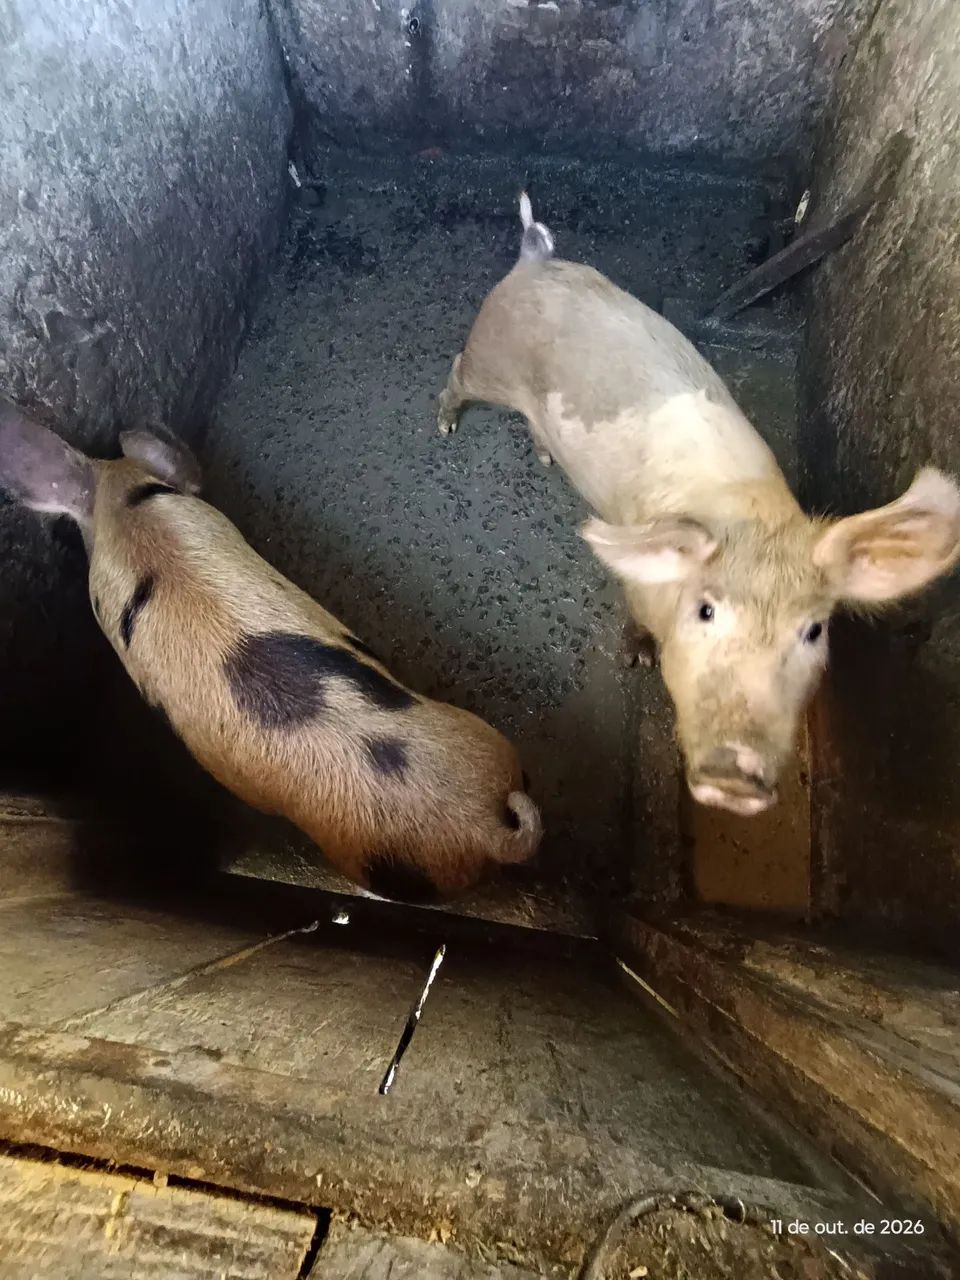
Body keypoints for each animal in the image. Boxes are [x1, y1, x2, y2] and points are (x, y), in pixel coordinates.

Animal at [437, 194, 960, 816]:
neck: (751, 521)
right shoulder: (639, 586)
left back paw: (542, 457)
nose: (735, 777)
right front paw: (638, 658)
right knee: (455, 371)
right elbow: (636, 623)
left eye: (813, 631)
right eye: (706, 611)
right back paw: (444, 427)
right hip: (488, 356)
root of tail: (533, 260)